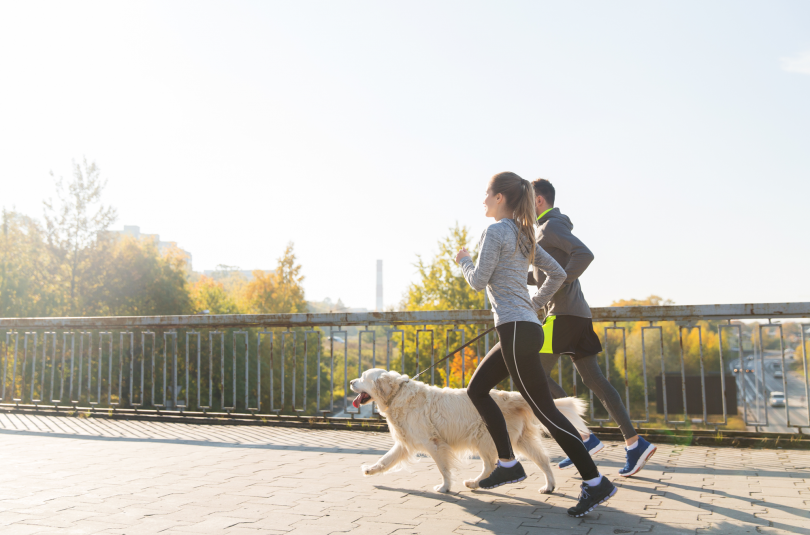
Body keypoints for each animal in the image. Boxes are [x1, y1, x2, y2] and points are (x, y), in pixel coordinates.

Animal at [348, 368, 588, 494]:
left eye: (363, 377)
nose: (350, 381)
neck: (397, 394)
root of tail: (510, 396)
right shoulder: (405, 443)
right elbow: (386, 460)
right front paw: (370, 470)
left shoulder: (433, 443)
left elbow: (443, 468)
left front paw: (444, 487)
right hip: (520, 440)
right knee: (543, 460)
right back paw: (549, 486)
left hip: (485, 438)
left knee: (491, 464)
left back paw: (476, 482)